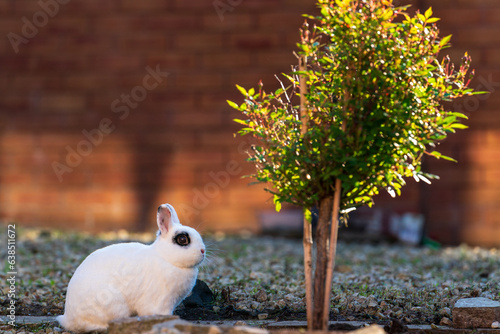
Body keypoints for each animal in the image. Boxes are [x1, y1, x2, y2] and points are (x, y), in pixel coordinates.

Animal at [54, 202, 203, 332]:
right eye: (182, 239)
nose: (202, 251)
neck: (166, 258)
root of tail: (68, 318)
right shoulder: (159, 301)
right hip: (113, 304)